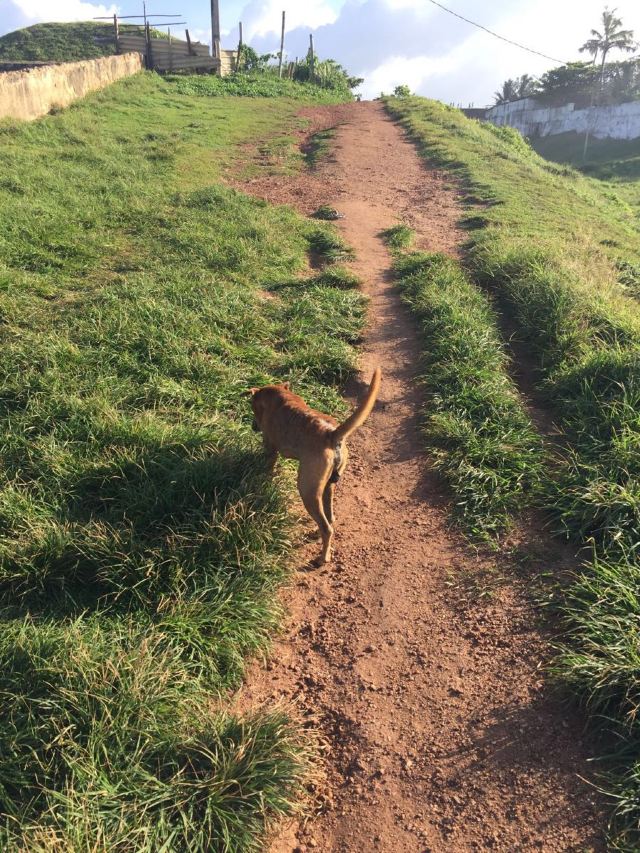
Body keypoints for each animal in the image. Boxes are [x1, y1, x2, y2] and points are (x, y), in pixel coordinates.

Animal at [249, 366, 380, 560]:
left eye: (252, 409)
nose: (252, 426)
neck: (278, 395)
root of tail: (331, 435)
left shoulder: (270, 447)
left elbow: (268, 468)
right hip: (328, 485)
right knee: (330, 518)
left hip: (307, 490)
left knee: (327, 528)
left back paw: (322, 558)